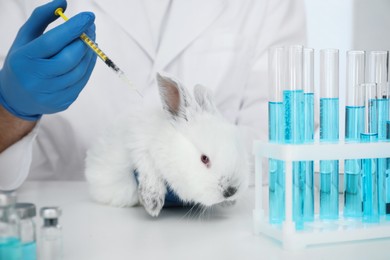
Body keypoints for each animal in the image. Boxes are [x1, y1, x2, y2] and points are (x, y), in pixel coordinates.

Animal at [85, 72, 250, 216]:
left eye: (237, 149)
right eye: (204, 159)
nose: (231, 191)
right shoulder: (137, 143)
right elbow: (148, 165)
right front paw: (152, 203)